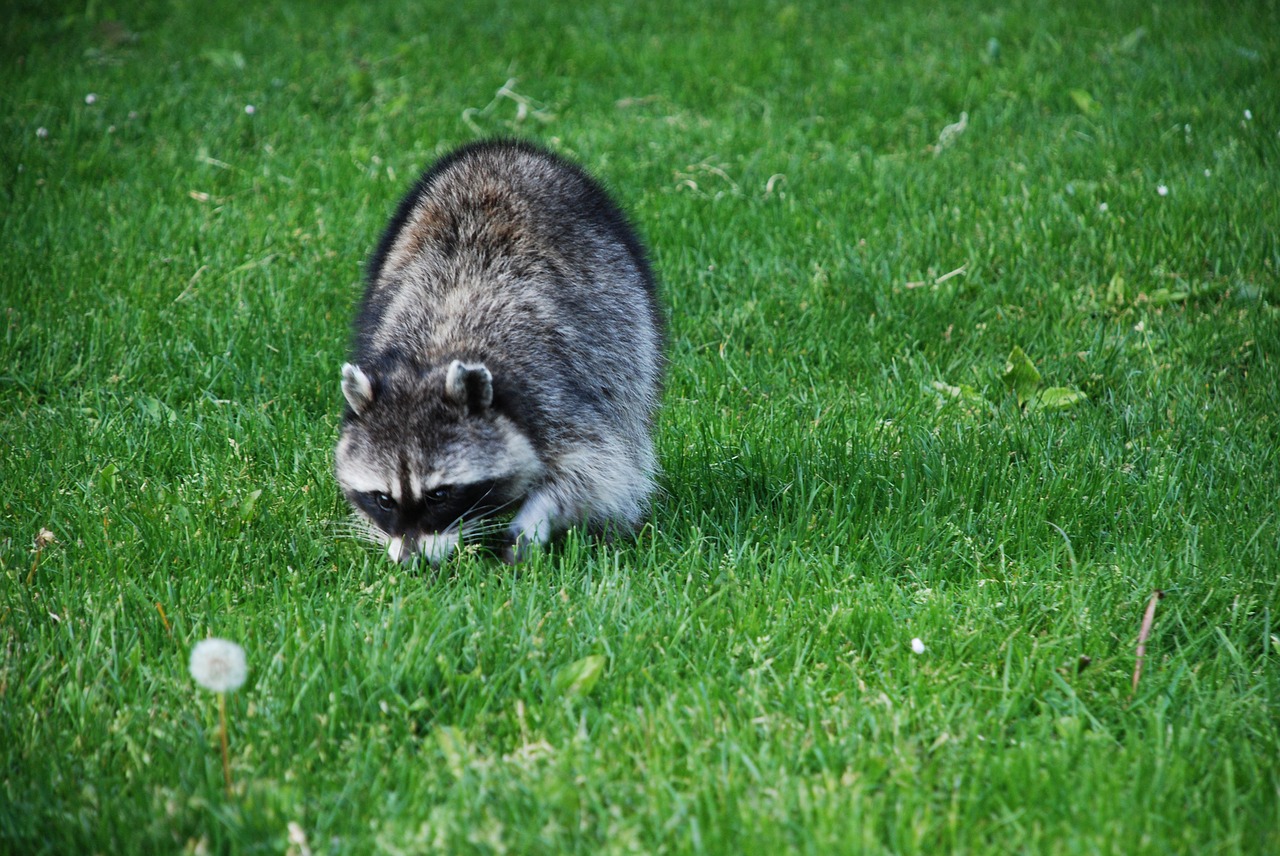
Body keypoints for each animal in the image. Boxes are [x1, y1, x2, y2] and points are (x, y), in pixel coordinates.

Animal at [335, 138, 665, 568]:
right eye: (383, 499)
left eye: (440, 494)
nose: (411, 563)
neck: (435, 354)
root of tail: (501, 150)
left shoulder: (553, 399)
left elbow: (596, 473)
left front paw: (532, 520)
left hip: (627, 313)